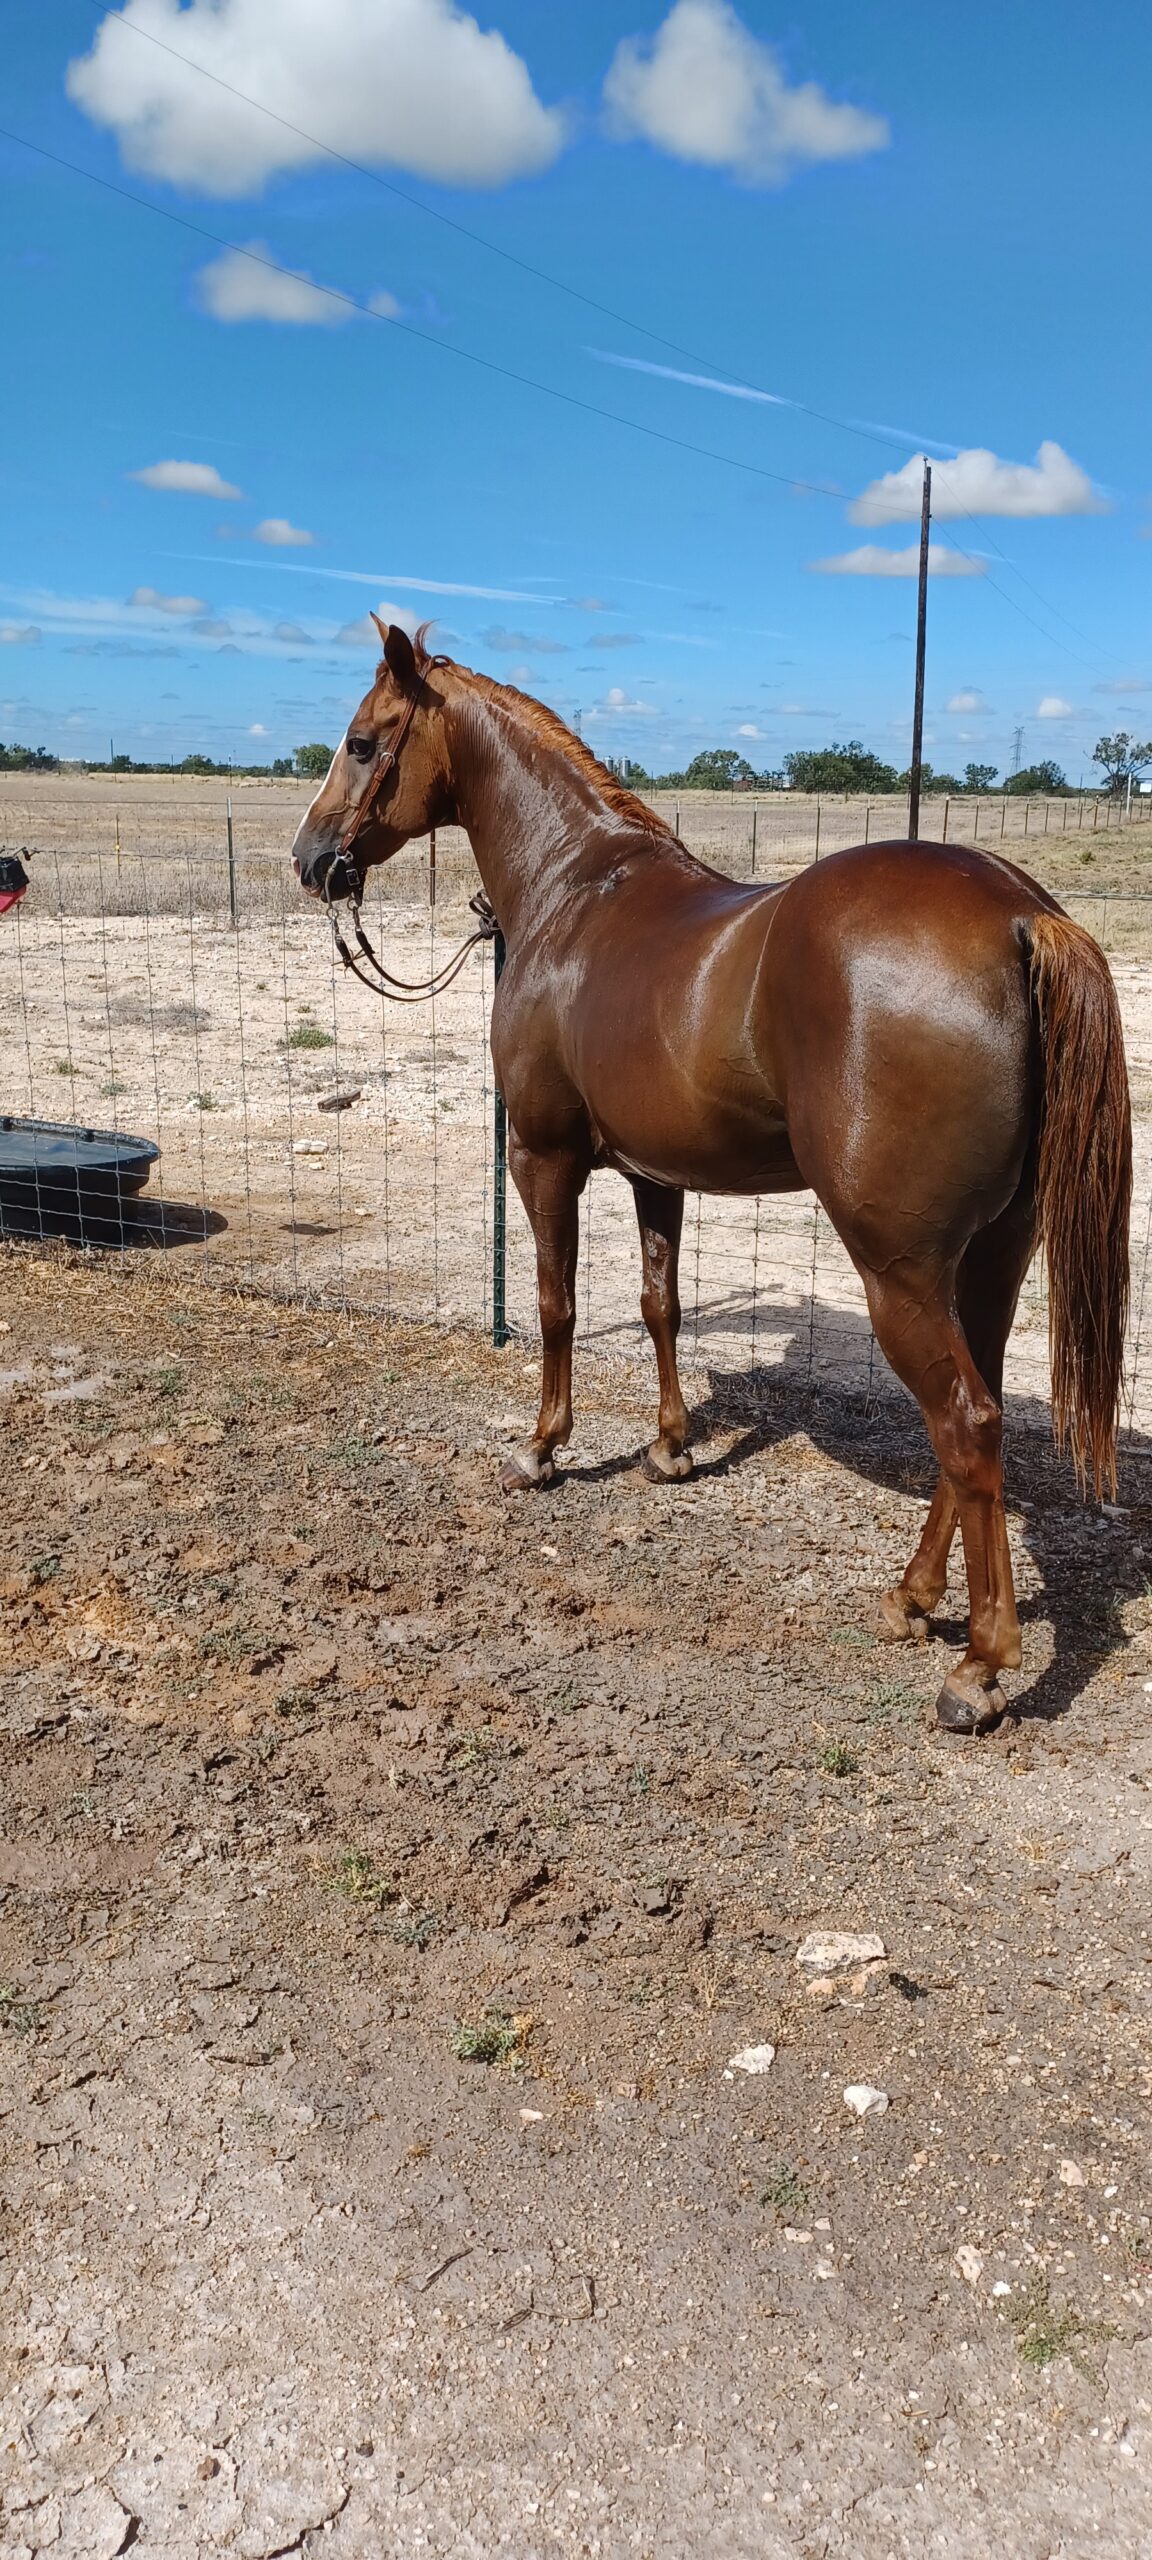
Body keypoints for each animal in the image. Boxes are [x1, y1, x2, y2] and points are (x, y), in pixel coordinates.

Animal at [293, 619, 1132, 1737]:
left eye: (360, 740)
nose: (310, 858)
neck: (574, 891)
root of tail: (1021, 916)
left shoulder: (544, 1159)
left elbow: (557, 1307)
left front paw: (543, 1448)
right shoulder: (659, 1175)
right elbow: (661, 1307)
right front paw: (670, 1448)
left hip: (900, 1269)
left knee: (964, 1424)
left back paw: (978, 1667)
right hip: (990, 1257)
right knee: (980, 1417)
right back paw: (913, 1599)